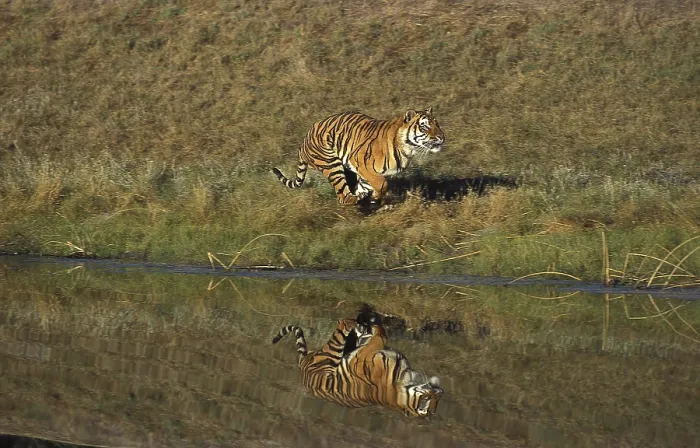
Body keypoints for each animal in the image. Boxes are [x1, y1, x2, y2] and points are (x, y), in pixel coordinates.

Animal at [271, 316, 444, 418]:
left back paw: (352, 322)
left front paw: (373, 328)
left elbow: (379, 339)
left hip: (331, 352)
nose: (440, 390)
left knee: (341, 328)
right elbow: (380, 335)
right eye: (436, 394)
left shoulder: (363, 358)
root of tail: (304, 361)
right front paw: (375, 326)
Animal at [272, 107, 445, 205]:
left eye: (437, 124)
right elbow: (382, 183)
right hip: (331, 163)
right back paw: (356, 200)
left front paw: (373, 198)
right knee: (342, 196)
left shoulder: (362, 172)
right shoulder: (360, 161)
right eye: (424, 126)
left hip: (344, 169)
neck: (407, 149)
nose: (442, 137)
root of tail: (303, 142)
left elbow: (369, 185)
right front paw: (374, 198)